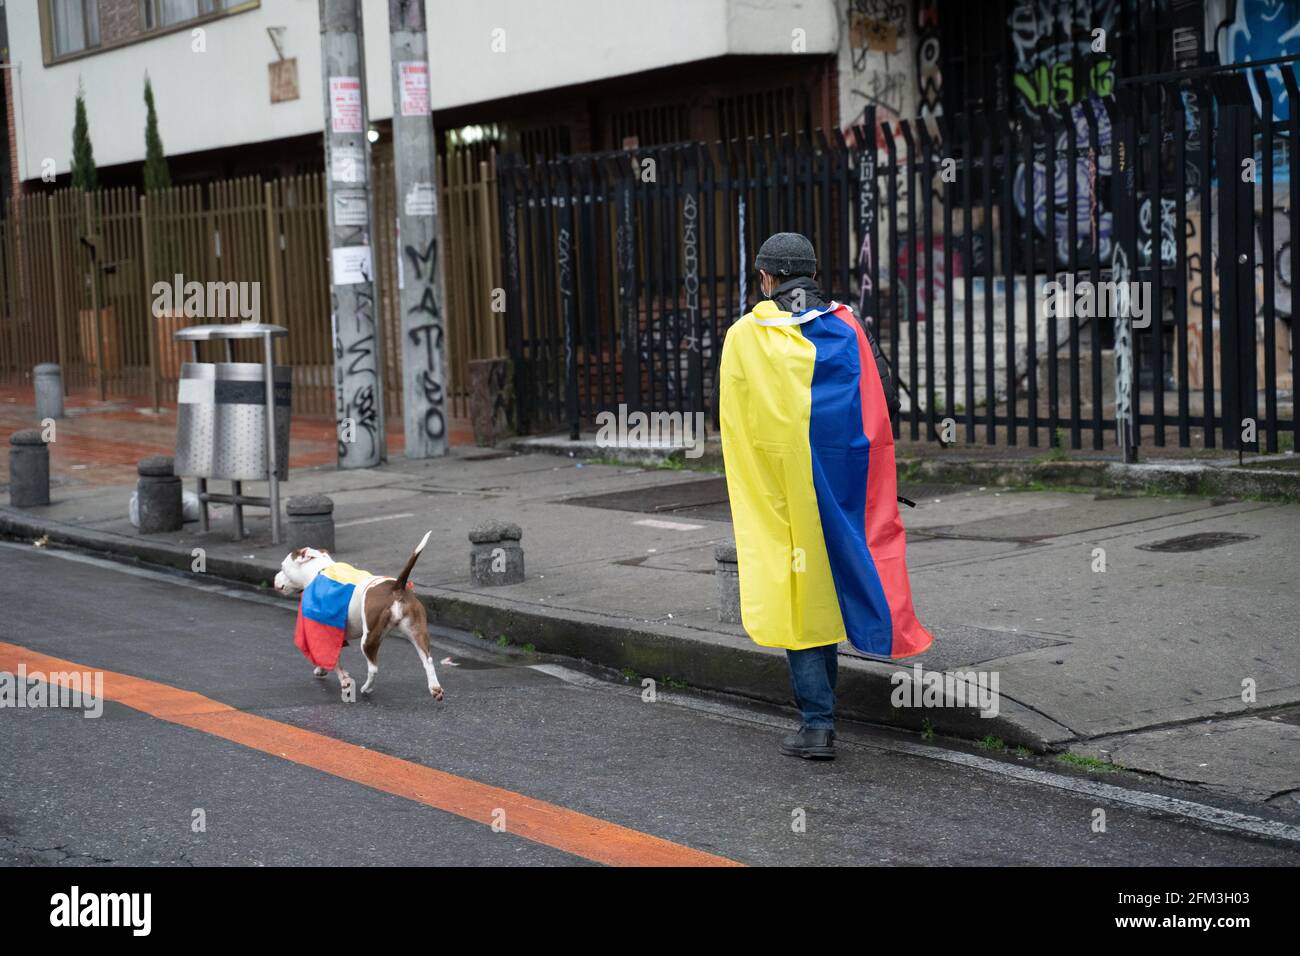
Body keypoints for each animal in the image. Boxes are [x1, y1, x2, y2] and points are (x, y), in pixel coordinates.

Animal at [271, 530, 444, 702]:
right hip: (416, 631)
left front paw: (344, 680)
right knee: (427, 660)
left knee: (373, 668)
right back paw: (435, 689)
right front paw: (322, 669)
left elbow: (333, 659)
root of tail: (396, 587)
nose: (274, 579)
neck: (318, 571)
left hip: (369, 638)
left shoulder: (323, 630)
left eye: (282, 567)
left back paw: (367, 688)